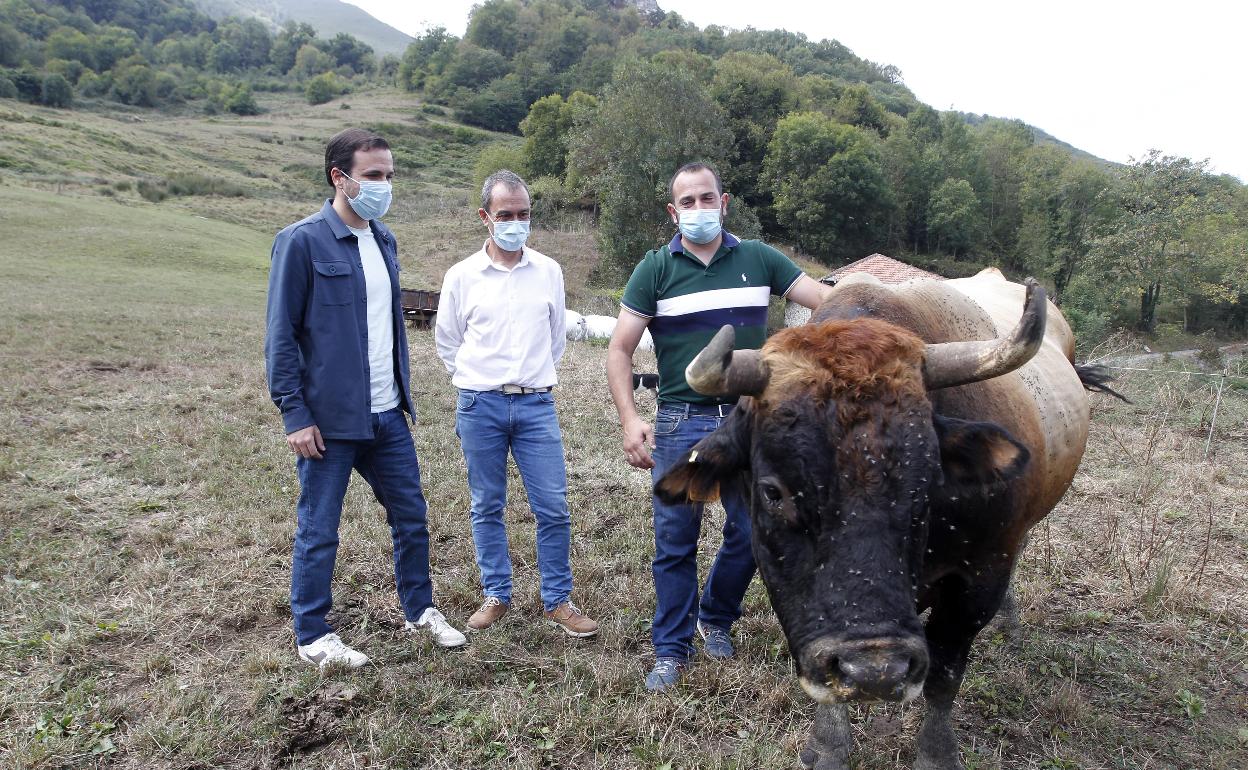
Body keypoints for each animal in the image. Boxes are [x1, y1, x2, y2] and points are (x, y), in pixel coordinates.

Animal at [658, 267, 1108, 763]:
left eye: (928, 479)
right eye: (773, 492)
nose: (876, 669)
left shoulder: (978, 581)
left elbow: (944, 674)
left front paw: (935, 752)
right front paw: (829, 744)